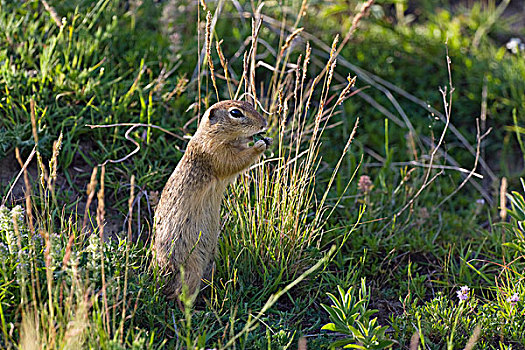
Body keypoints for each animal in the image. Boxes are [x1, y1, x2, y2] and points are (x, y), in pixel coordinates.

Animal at [154, 100, 272, 300]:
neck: (209, 135)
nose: (264, 124)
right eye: (235, 113)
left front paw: (267, 140)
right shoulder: (216, 153)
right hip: (191, 268)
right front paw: (259, 145)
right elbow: (236, 161)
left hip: (211, 261)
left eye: (249, 103)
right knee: (180, 295)